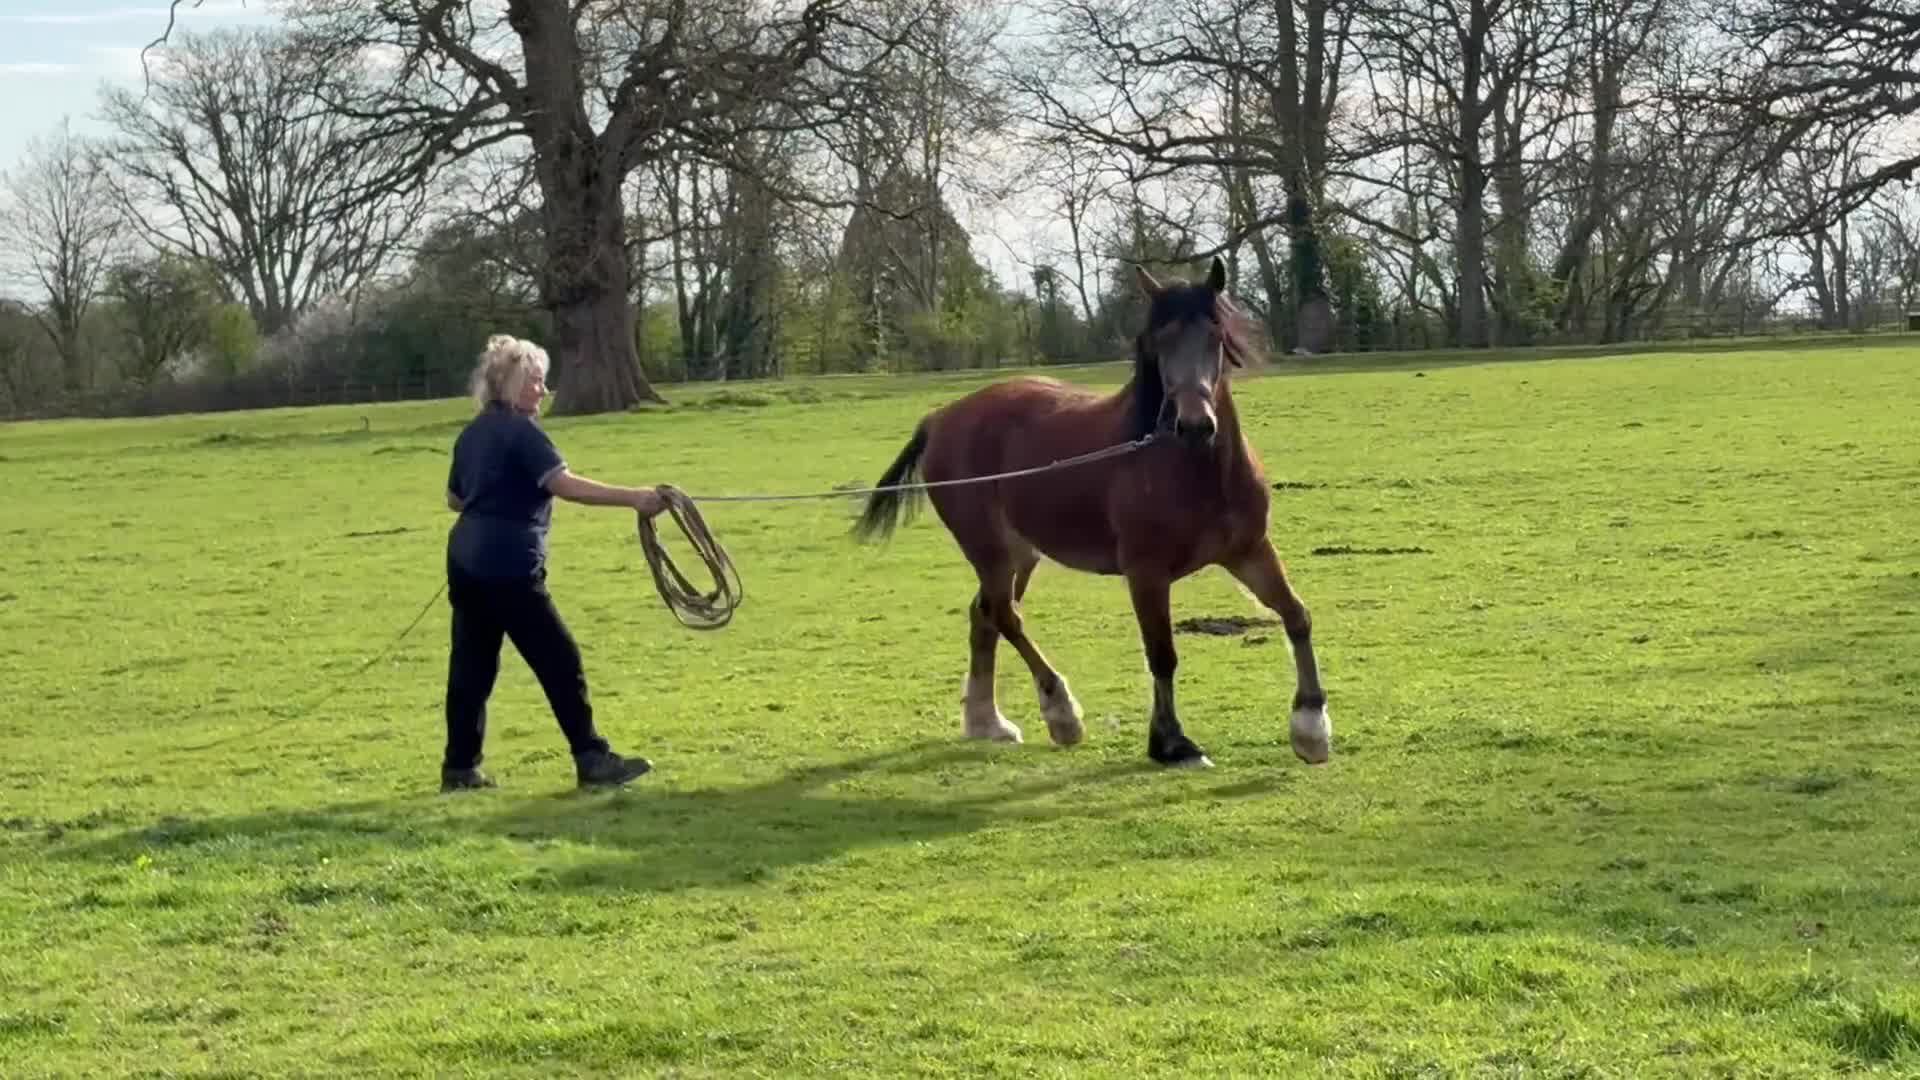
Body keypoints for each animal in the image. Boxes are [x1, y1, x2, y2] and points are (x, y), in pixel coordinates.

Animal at [851, 255, 1331, 768]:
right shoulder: (1146, 573)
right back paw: (1060, 712)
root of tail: (941, 417)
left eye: (1215, 335)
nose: (1195, 425)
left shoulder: (1249, 551)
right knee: (1004, 616)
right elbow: (1162, 654)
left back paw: (988, 722)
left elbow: (1297, 615)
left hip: (1021, 555)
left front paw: (1310, 726)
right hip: (990, 550)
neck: (1193, 470)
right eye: (1160, 340)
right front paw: (1172, 743)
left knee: (985, 616)